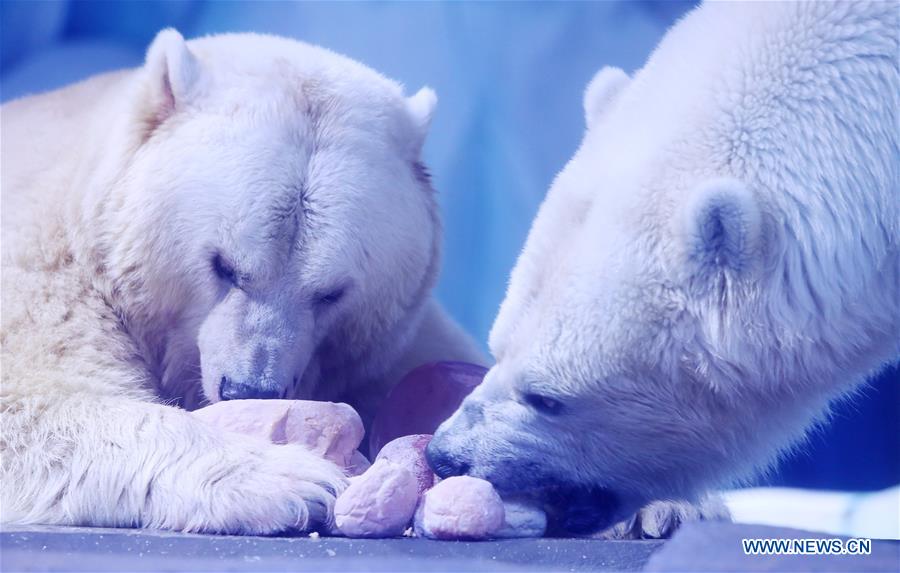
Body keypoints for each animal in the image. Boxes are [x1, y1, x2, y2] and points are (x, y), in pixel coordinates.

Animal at [0, 30, 482, 534]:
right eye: (223, 266)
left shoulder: (396, 344)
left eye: (330, 293)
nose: (250, 390)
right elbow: (32, 405)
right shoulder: (42, 281)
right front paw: (296, 480)